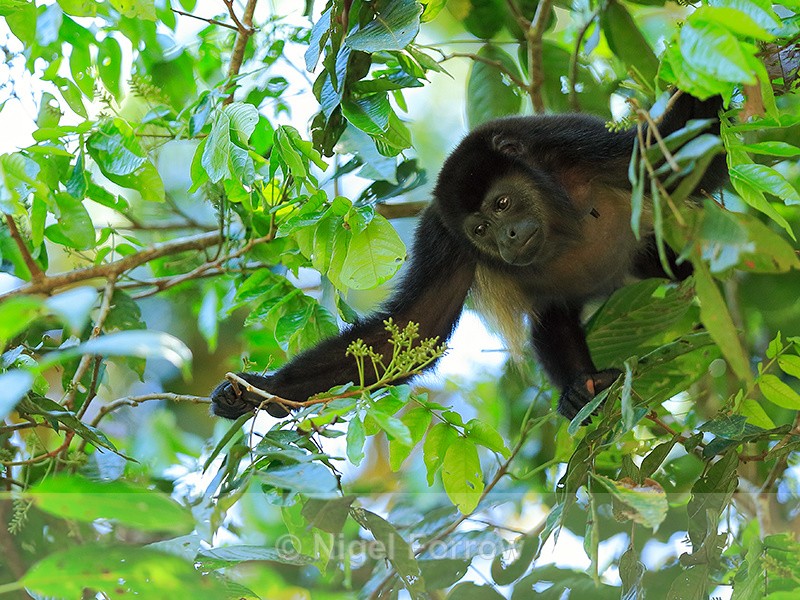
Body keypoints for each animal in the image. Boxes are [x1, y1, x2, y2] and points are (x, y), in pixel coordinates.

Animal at [211, 92, 727, 421]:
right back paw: (581, 389)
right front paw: (262, 391)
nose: (509, 236)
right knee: (551, 318)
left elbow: (678, 158)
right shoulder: (445, 237)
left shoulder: (575, 145)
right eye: (480, 230)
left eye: (503, 204)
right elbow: (417, 329)